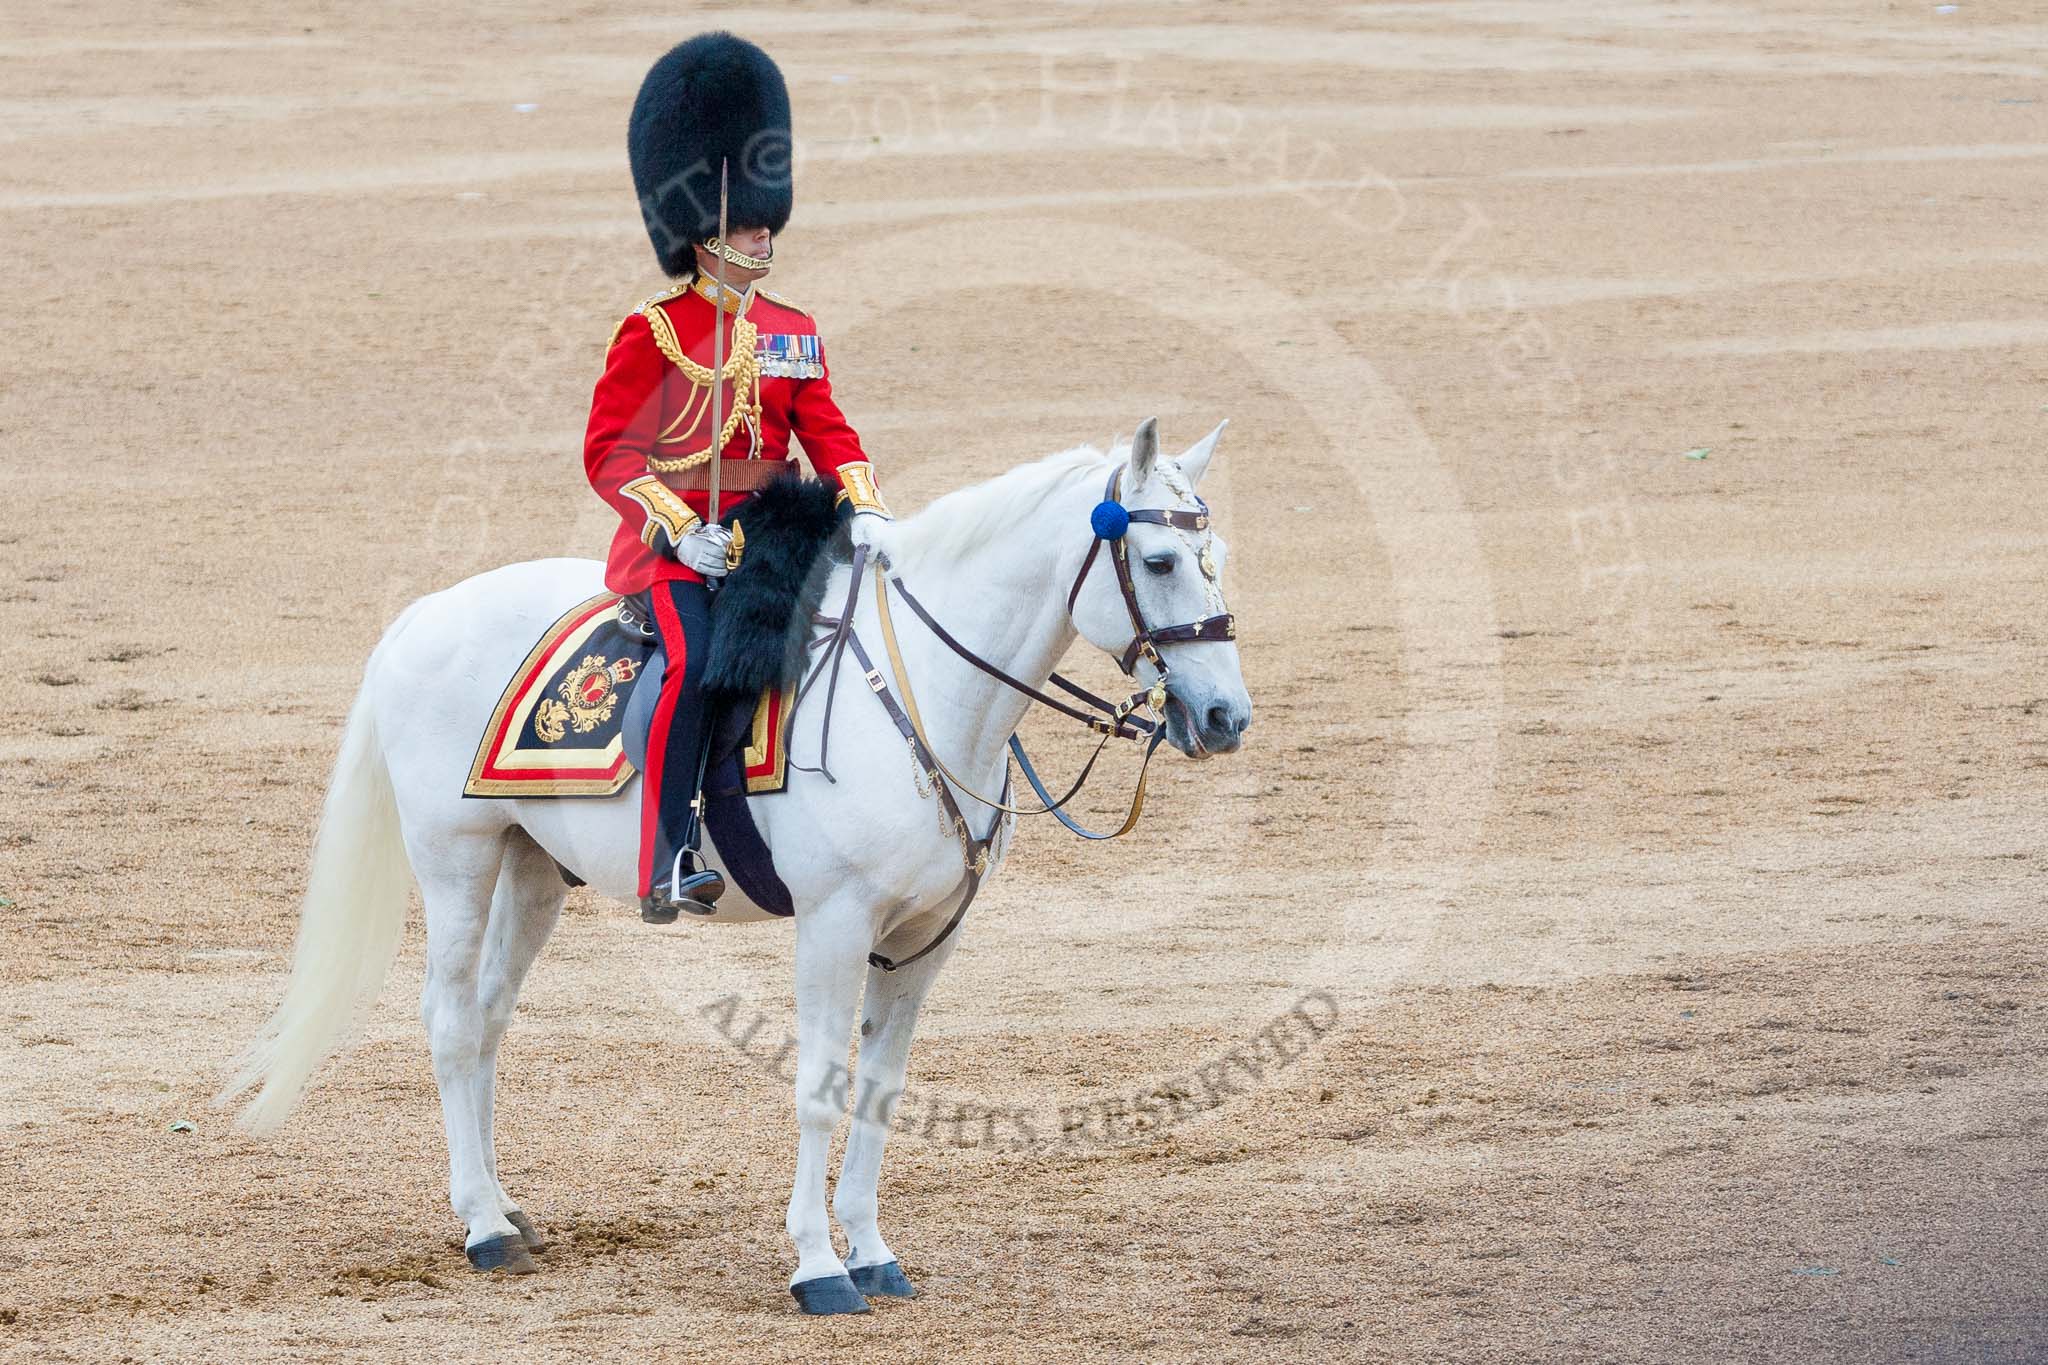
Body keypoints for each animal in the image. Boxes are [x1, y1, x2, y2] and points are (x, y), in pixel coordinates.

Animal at [224, 417, 1245, 1309]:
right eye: (1157, 561)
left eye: (1216, 558)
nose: (1227, 717)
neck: (922, 685)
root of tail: (420, 616)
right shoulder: (834, 924)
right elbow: (821, 1087)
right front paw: (818, 1266)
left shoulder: (925, 938)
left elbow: (880, 1088)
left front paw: (872, 1251)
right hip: (456, 860)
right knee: (445, 1020)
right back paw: (480, 1226)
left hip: (531, 869)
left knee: (485, 1022)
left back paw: (505, 1207)